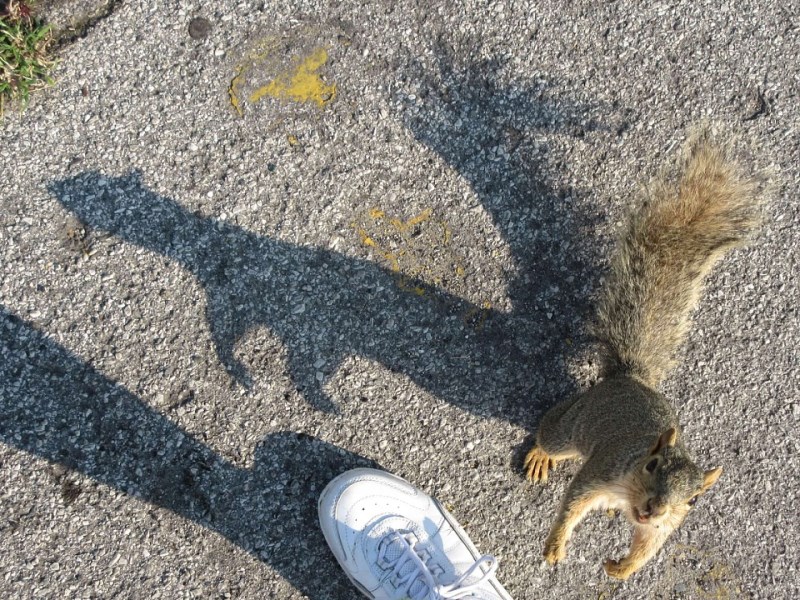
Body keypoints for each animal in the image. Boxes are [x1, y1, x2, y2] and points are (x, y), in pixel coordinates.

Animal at [524, 126, 764, 580]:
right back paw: (539, 456)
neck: (631, 494)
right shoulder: (601, 472)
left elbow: (648, 547)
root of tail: (630, 377)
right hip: (571, 426)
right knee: (550, 432)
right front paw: (555, 545)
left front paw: (623, 568)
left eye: (693, 501)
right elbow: (572, 503)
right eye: (652, 466)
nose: (654, 508)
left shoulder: (661, 527)